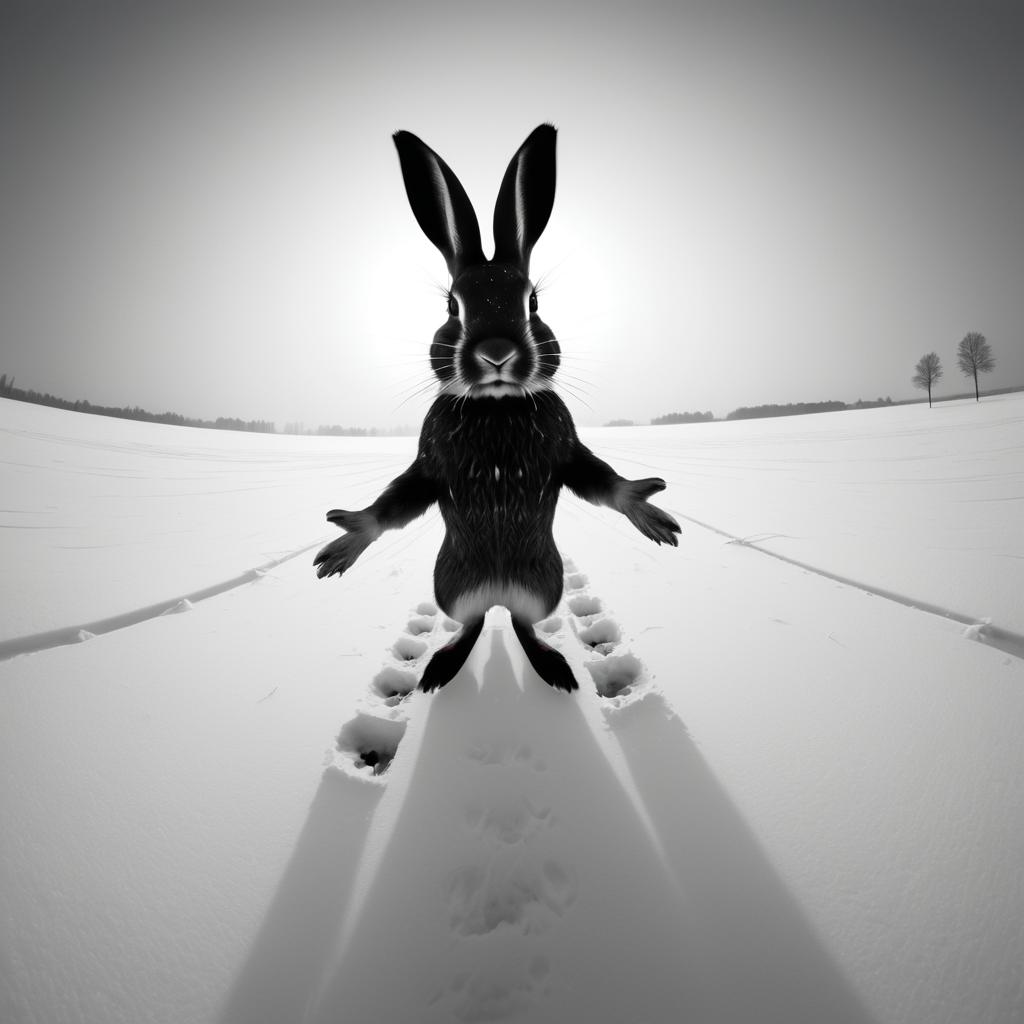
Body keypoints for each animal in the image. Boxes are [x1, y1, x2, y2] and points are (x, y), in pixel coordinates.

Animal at [311, 123, 679, 692]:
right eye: (451, 305)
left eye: (534, 302)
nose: (497, 352)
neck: (497, 405)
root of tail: (501, 592)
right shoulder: (430, 461)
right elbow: (398, 501)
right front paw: (345, 541)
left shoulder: (566, 449)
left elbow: (601, 481)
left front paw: (651, 510)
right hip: (452, 585)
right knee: (474, 623)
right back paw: (443, 669)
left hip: (544, 584)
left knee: (522, 625)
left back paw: (553, 669)